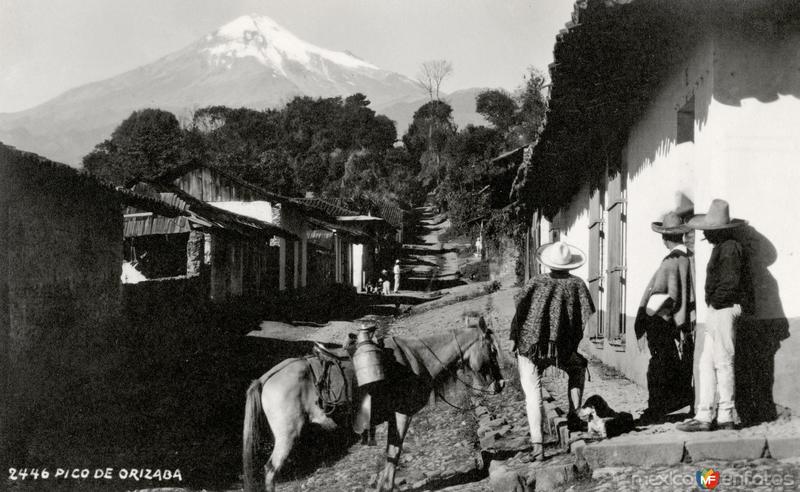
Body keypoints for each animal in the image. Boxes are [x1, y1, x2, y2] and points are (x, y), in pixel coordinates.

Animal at [242, 320, 506, 492]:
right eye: (492, 350)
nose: (501, 384)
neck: (415, 359)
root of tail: (267, 377)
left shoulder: (392, 417)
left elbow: (390, 452)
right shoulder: (402, 415)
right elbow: (395, 452)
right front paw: (386, 486)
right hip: (288, 435)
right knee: (270, 470)